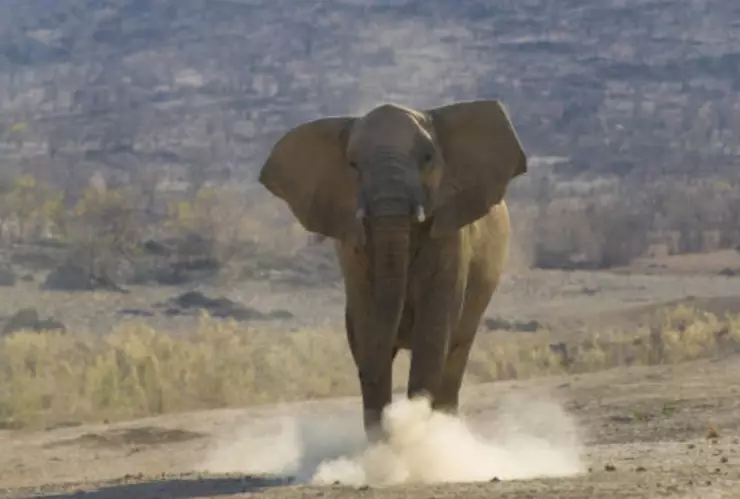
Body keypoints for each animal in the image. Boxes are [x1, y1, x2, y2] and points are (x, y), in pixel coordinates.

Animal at [258, 99, 527, 441]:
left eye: (427, 158)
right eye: (353, 164)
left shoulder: (451, 237)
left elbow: (433, 331)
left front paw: (415, 436)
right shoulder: (354, 248)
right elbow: (367, 322)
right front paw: (385, 444)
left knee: (456, 354)